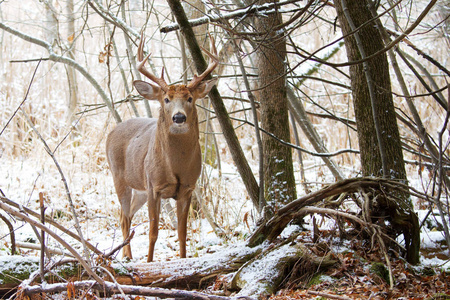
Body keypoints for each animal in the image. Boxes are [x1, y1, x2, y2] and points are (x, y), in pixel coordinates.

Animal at [106, 34, 218, 262]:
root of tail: (111, 133)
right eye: (166, 99)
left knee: (125, 215)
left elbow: (183, 232)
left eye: (190, 98)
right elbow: (153, 232)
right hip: (120, 178)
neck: (175, 168)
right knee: (124, 216)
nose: (178, 117)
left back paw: (126, 255)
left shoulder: (187, 188)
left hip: (139, 188)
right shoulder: (154, 187)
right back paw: (128, 257)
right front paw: (149, 262)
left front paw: (182, 260)